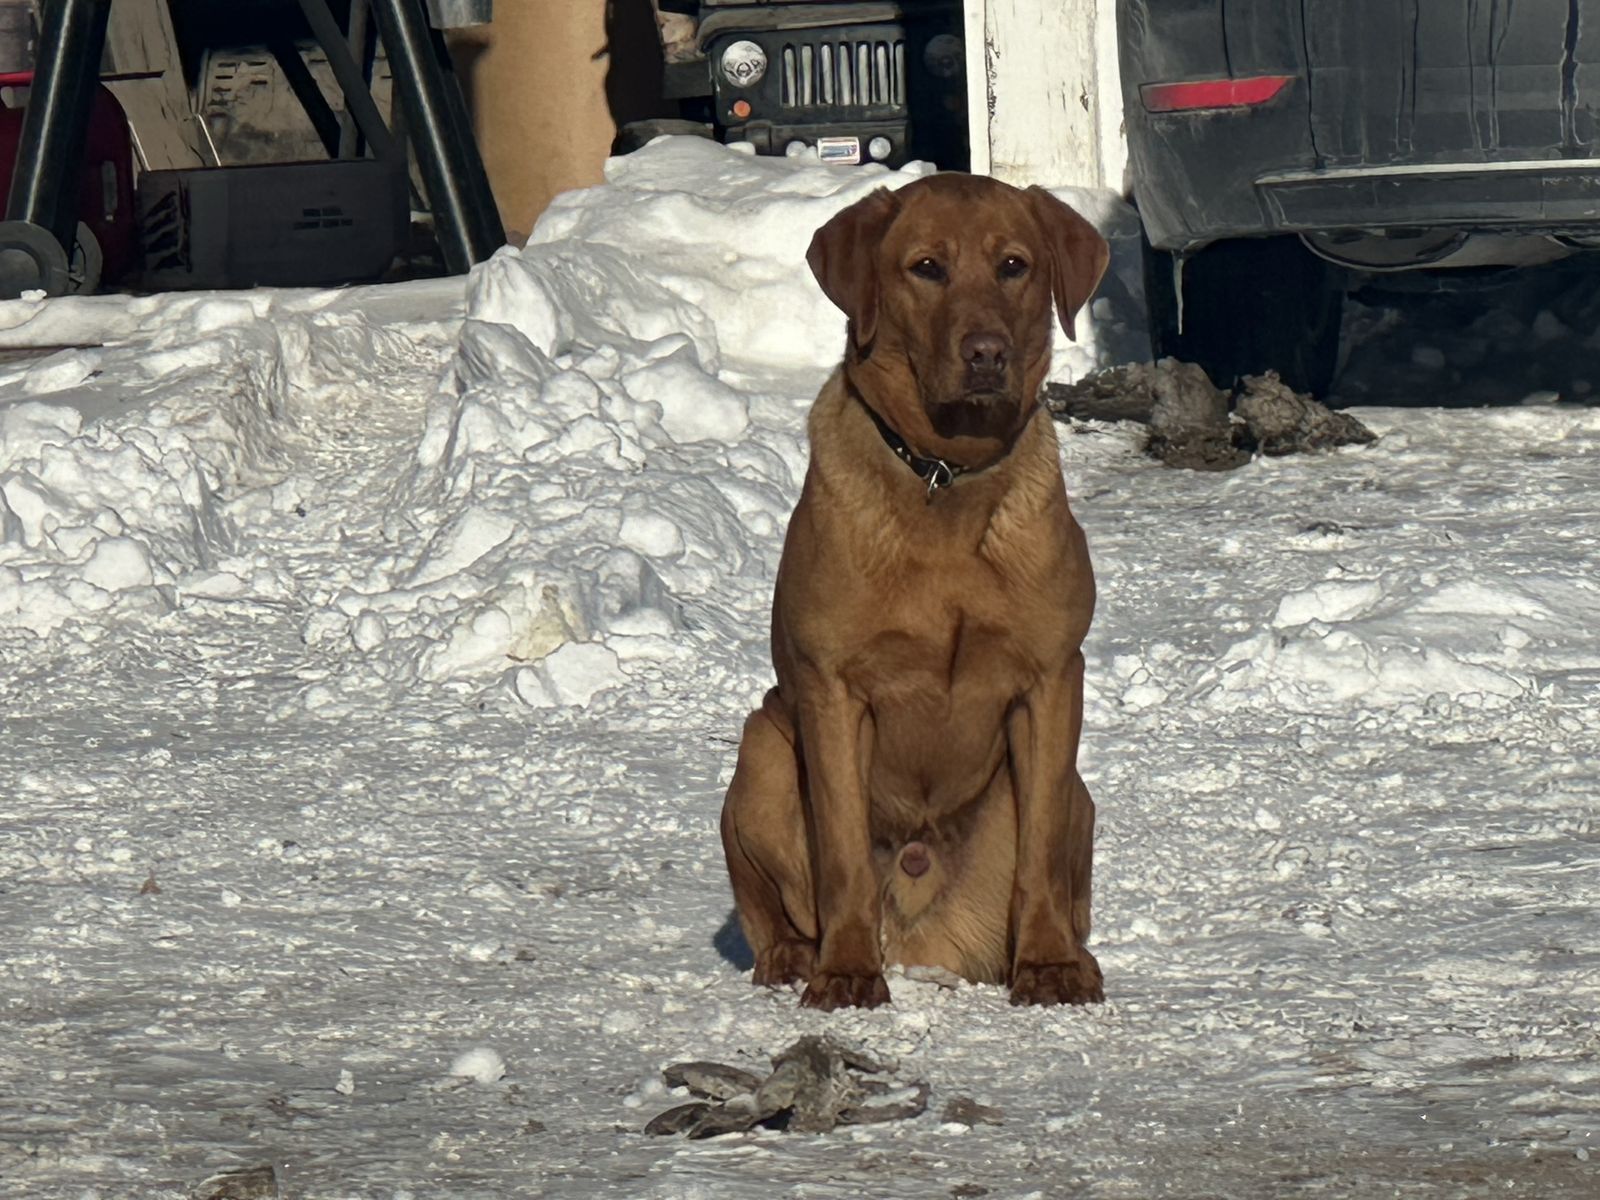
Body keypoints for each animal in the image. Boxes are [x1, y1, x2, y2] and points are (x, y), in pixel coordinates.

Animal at [721, 173, 1110, 1010]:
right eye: (926, 267)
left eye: (1013, 265)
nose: (987, 353)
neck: (944, 473)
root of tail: (922, 946)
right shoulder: (834, 689)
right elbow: (841, 855)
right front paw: (844, 971)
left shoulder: (1052, 680)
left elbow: (1040, 857)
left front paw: (1050, 964)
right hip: (763, 747)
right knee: (771, 909)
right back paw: (797, 956)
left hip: (1081, 793)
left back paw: (1072, 954)